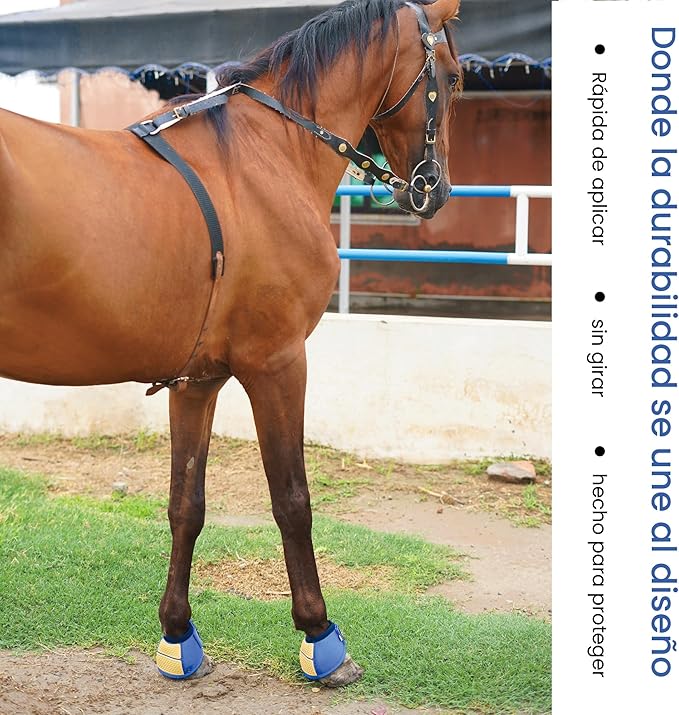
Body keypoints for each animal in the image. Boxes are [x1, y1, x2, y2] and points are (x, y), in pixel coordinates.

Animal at [0, 0, 462, 687]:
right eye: (454, 77)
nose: (437, 190)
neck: (266, 153)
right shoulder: (278, 363)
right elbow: (292, 499)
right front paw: (320, 637)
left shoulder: (198, 381)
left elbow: (184, 503)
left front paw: (177, 636)